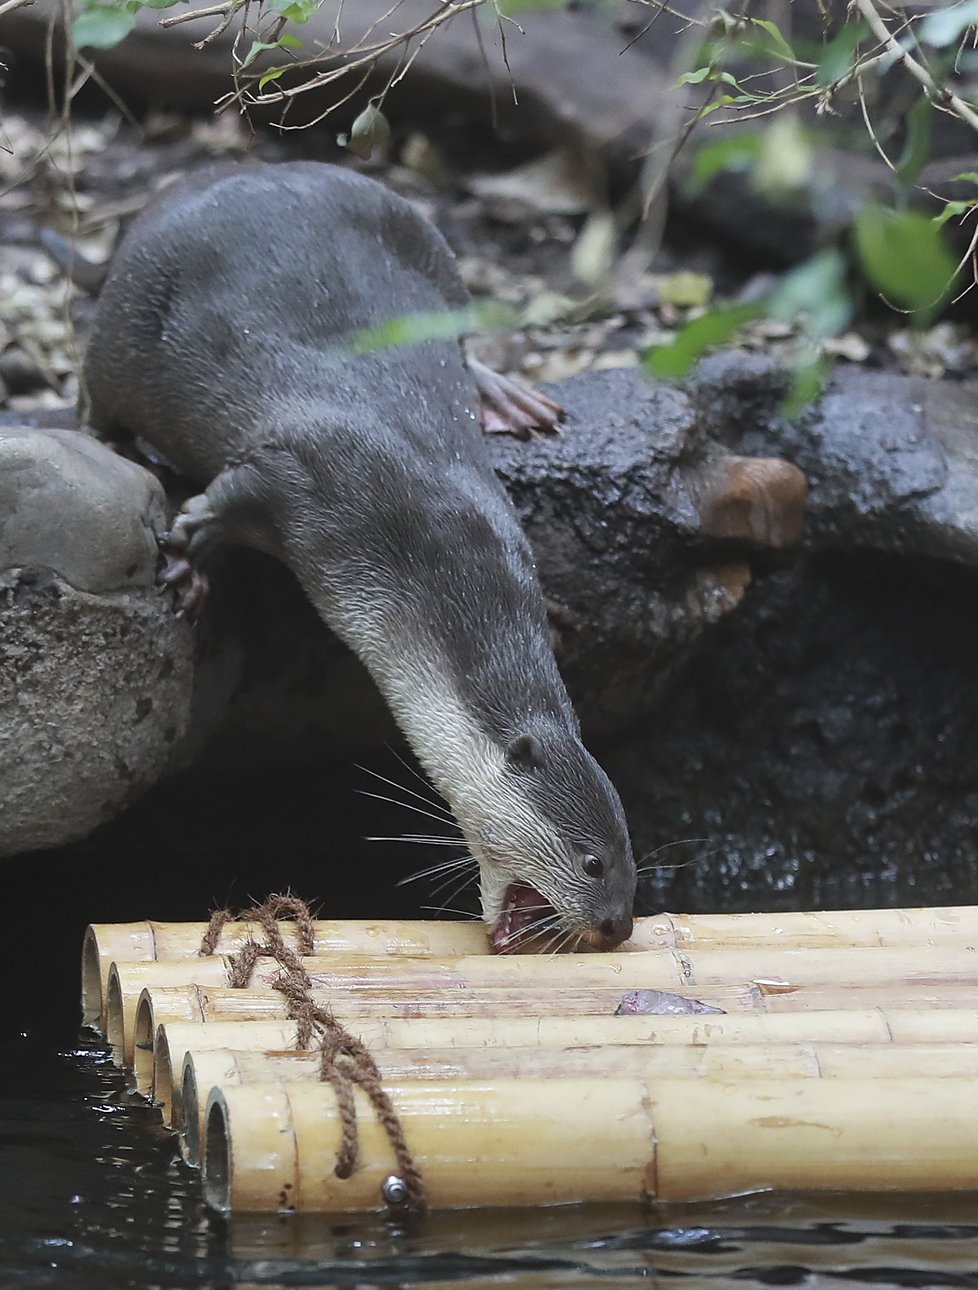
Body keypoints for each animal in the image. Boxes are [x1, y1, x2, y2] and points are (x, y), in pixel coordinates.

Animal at [80, 158, 639, 949]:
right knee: (96, 394)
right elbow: (223, 501)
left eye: (630, 857)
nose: (618, 924)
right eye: (593, 862)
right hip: (122, 326)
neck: (436, 551)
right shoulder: (306, 472)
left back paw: (501, 394)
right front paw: (187, 562)